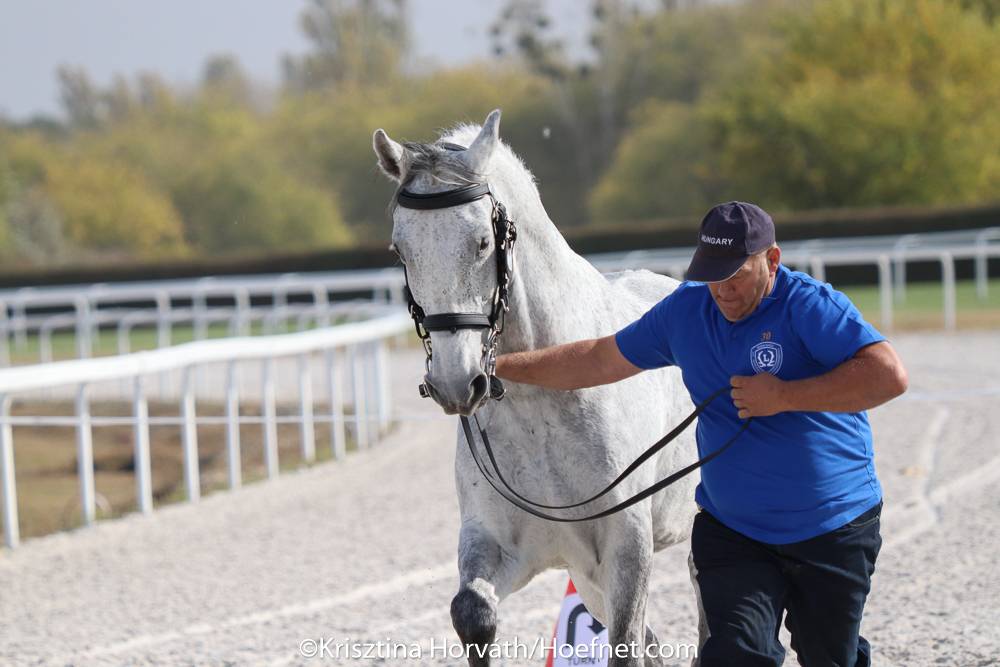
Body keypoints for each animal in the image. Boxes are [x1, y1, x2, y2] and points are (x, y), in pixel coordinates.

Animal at [373, 110, 705, 667]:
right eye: (401, 249)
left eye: (482, 243)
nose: (454, 384)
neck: (544, 398)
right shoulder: (497, 542)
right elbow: (473, 614)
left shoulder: (627, 547)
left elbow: (624, 645)